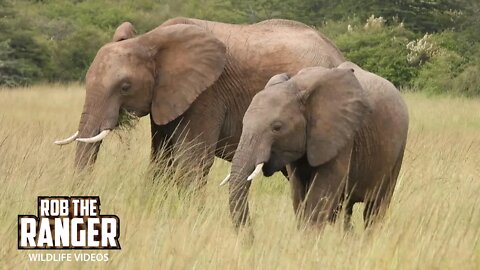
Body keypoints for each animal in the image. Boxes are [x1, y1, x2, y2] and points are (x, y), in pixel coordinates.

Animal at [53, 17, 344, 185]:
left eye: (125, 87)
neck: (150, 39)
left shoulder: (207, 94)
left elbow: (192, 159)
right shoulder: (167, 97)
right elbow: (161, 156)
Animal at [225, 62, 408, 229]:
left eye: (277, 127)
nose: (251, 239)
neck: (297, 86)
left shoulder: (340, 135)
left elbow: (321, 193)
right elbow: (298, 193)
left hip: (398, 150)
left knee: (375, 208)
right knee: (346, 208)